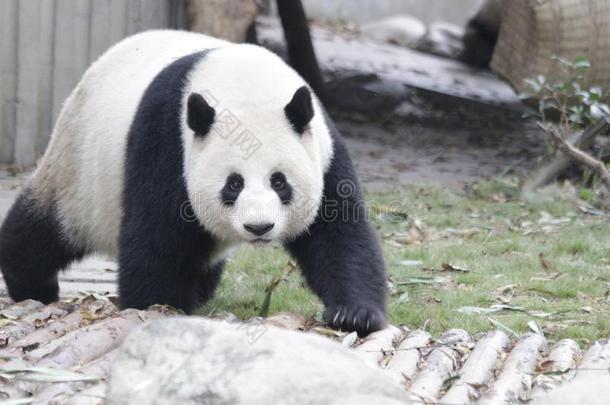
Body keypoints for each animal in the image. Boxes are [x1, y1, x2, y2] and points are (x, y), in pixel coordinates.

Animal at [0, 30, 388, 334]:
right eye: (233, 184)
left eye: (280, 182)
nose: (259, 227)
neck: (245, 83)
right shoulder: (168, 142)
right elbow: (155, 234)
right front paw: (160, 303)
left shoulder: (324, 150)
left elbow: (340, 235)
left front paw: (355, 314)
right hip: (80, 165)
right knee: (43, 229)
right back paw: (32, 283)